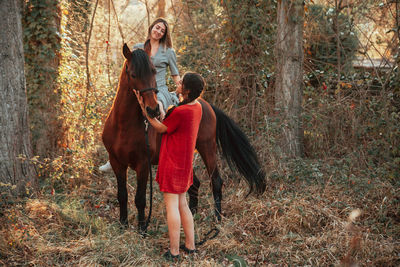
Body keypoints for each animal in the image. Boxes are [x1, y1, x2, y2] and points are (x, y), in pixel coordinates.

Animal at [102, 44, 266, 232]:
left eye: (153, 71)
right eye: (134, 74)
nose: (152, 110)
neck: (123, 125)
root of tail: (205, 104)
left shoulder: (142, 165)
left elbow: (140, 199)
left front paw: (142, 230)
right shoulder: (117, 163)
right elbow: (122, 195)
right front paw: (123, 225)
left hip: (207, 148)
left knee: (216, 181)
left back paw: (217, 218)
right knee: (194, 184)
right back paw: (192, 216)